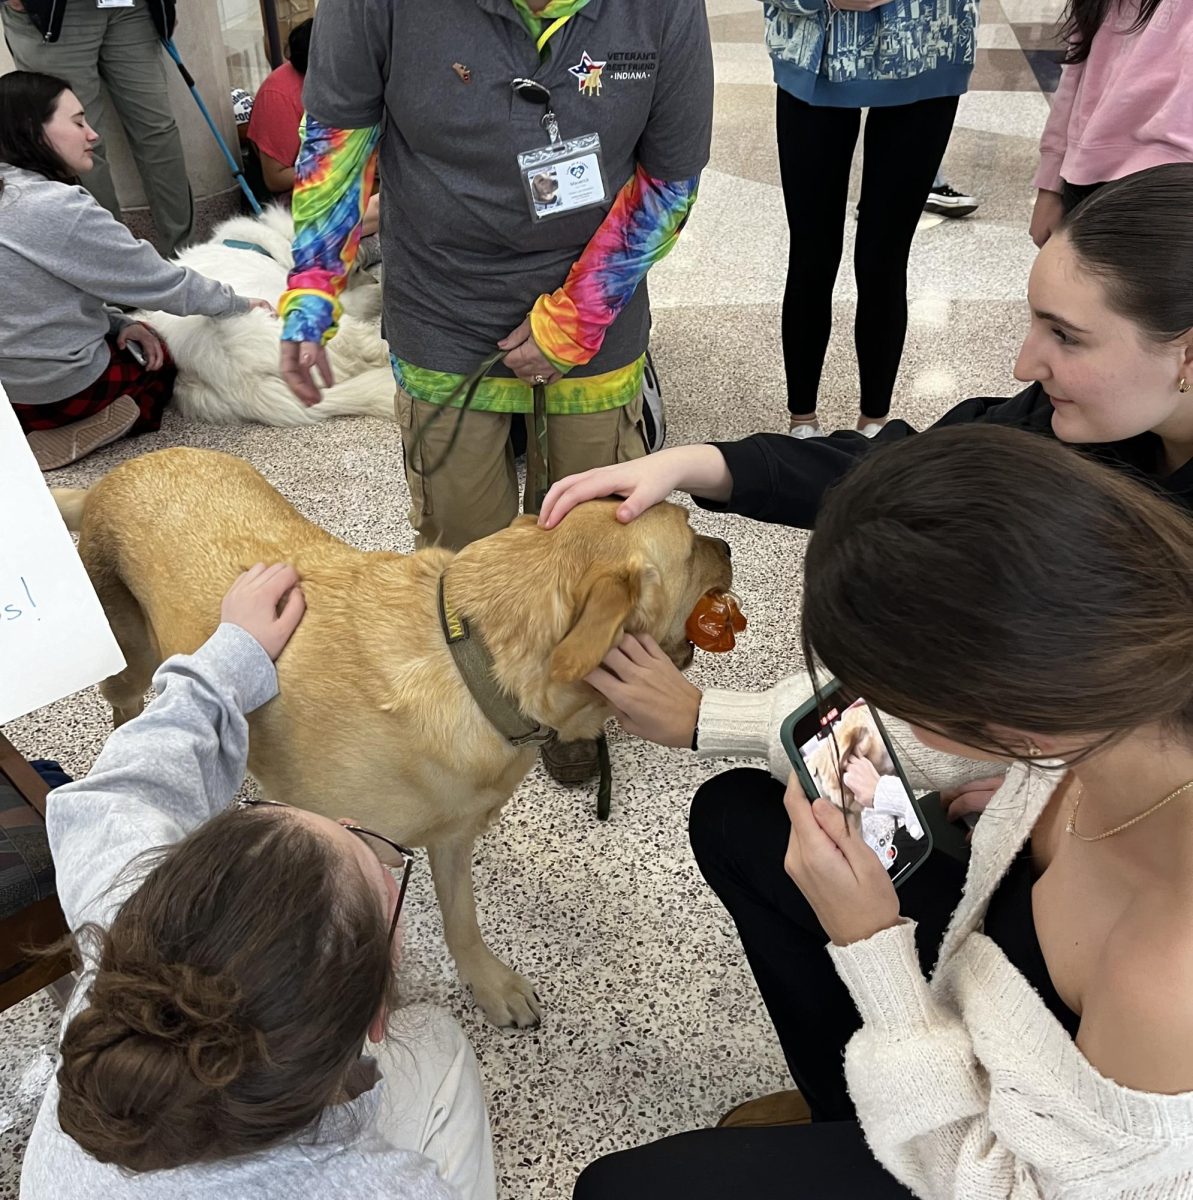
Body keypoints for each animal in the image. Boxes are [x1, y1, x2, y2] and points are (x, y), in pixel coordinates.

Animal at [55, 446, 729, 1027]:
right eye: (690, 542)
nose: (725, 543)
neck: (472, 662)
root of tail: (108, 480)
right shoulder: (362, 850)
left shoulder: (451, 840)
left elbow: (463, 921)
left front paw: (488, 984)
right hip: (130, 662)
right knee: (129, 715)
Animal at [136, 206, 393, 427]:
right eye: (358, 268)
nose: (374, 278)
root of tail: (242, 385)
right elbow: (365, 298)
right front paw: (379, 291)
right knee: (371, 348)